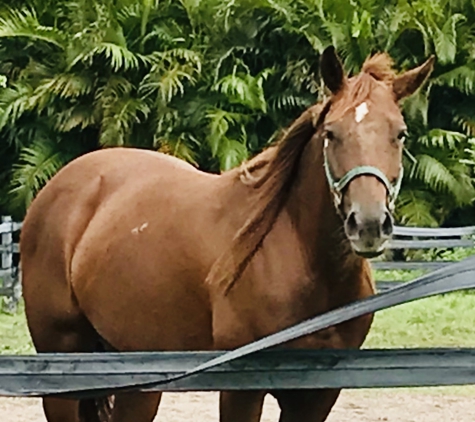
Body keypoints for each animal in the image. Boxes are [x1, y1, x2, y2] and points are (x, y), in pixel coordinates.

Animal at [18, 44, 436, 420]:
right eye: (332, 133)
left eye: (400, 134)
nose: (368, 224)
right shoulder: (241, 388)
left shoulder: (317, 395)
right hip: (62, 362)